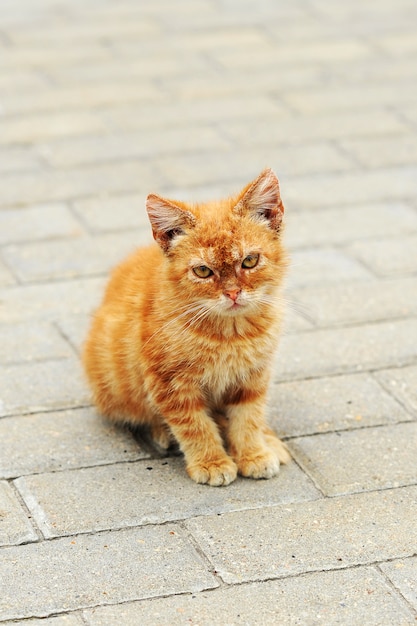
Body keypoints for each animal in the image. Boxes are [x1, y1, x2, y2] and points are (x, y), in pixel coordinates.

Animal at [81, 168, 290, 486]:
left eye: (250, 261)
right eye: (203, 271)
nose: (232, 293)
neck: (229, 335)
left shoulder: (253, 376)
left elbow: (248, 417)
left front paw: (253, 453)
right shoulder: (169, 384)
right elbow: (195, 426)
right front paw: (212, 462)